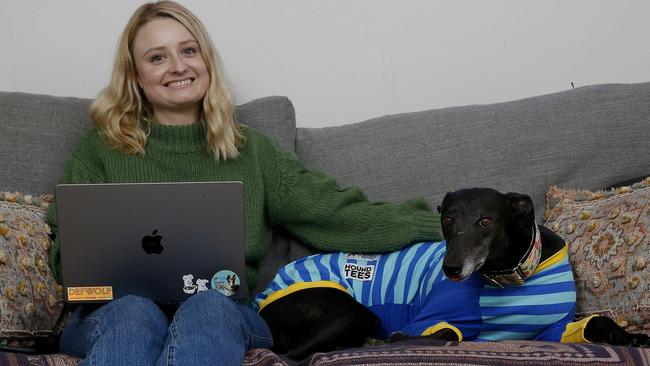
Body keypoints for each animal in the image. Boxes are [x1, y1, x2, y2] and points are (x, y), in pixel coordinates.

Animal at [254, 187, 648, 358]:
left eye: (486, 220)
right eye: (447, 219)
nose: (451, 269)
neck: (510, 277)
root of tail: (264, 296)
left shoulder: (555, 329)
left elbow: (597, 323)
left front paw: (632, 338)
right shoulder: (430, 320)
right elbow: (439, 335)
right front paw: (392, 341)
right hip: (352, 311)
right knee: (293, 354)